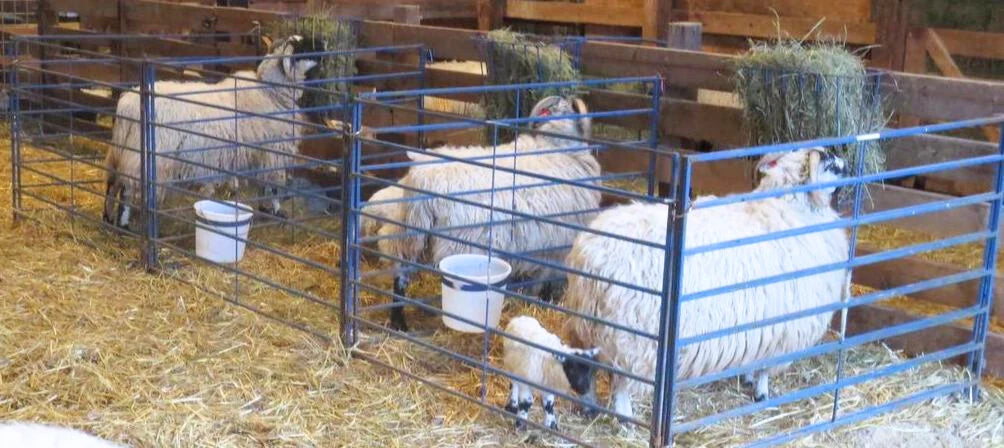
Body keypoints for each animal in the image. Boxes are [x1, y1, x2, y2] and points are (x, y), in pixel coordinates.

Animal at [102, 34, 322, 230]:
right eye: (303, 48)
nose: (324, 44)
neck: (269, 92)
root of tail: (127, 106)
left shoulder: (257, 153)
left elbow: (261, 184)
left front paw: (264, 207)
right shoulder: (273, 150)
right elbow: (274, 185)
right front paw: (277, 211)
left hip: (121, 150)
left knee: (113, 183)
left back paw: (108, 218)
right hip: (146, 158)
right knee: (127, 188)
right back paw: (124, 224)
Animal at [375, 95, 599, 332]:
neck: (556, 146)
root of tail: (424, 179)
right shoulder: (554, 248)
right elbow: (542, 281)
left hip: (408, 232)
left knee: (401, 273)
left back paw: (398, 321)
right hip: (461, 243)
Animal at [562, 147, 851, 421]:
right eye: (829, 162)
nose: (848, 165)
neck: (792, 210)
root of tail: (589, 257)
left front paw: (747, 378)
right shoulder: (784, 326)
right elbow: (765, 370)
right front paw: (761, 392)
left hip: (587, 322)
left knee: (582, 366)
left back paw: (588, 406)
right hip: (631, 334)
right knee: (621, 379)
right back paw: (625, 416)